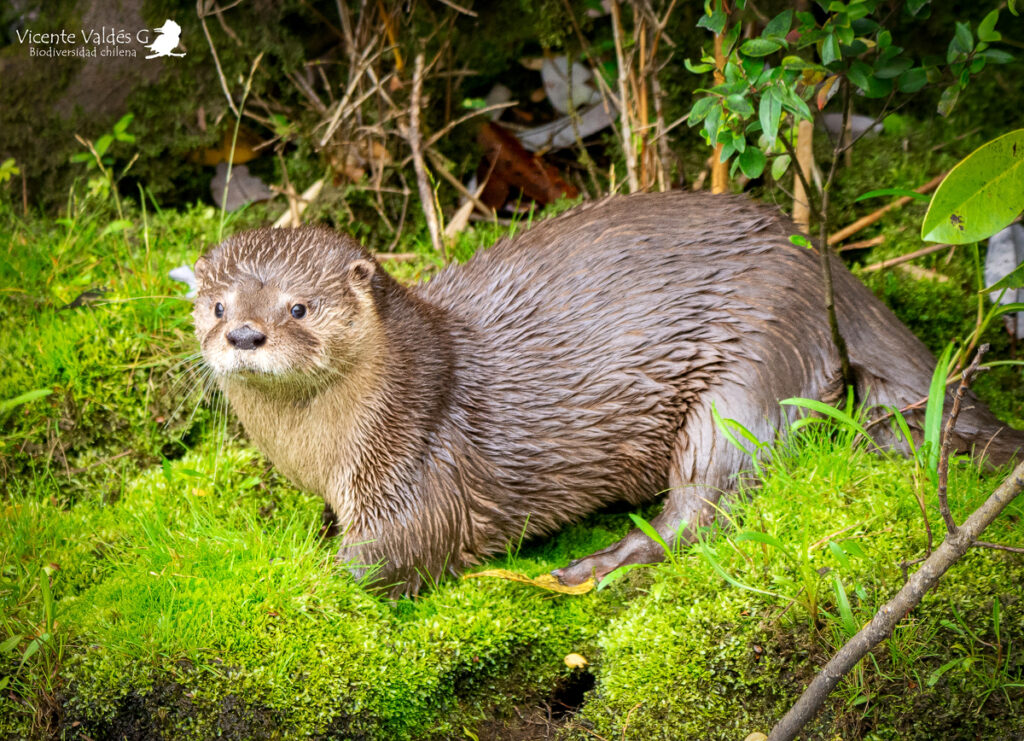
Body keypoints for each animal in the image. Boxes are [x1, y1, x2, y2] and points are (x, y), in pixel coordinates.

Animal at [193, 192, 1024, 597]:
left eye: (299, 307)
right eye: (216, 304)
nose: (245, 335)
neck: (322, 452)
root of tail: (818, 258)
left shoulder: (416, 463)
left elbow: (388, 556)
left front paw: (292, 583)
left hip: (750, 367)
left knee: (709, 501)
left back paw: (593, 565)